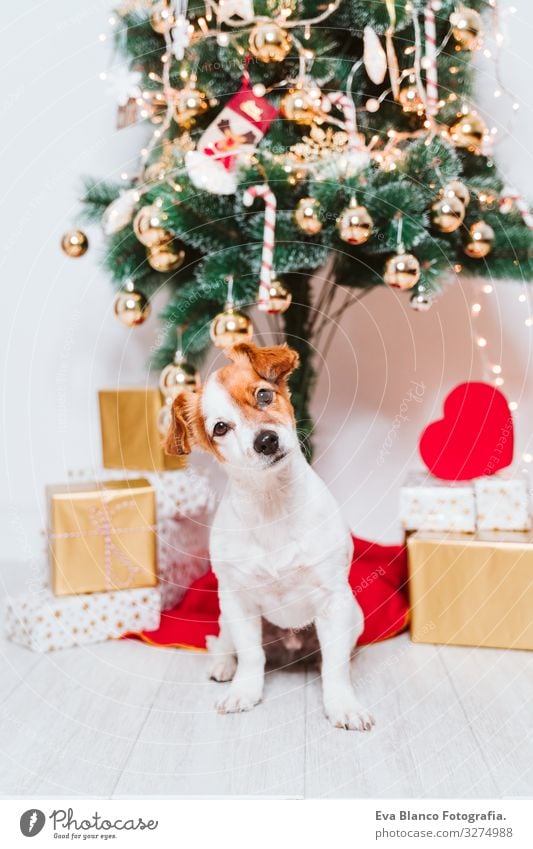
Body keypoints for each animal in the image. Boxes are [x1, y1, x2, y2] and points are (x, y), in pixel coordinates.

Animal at [165, 340, 374, 728]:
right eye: (220, 428)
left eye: (264, 395)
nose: (266, 440)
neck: (272, 503)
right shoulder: (238, 601)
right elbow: (251, 656)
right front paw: (244, 691)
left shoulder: (334, 601)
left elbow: (335, 666)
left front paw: (342, 704)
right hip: (225, 616)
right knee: (223, 643)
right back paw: (223, 665)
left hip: (354, 616)